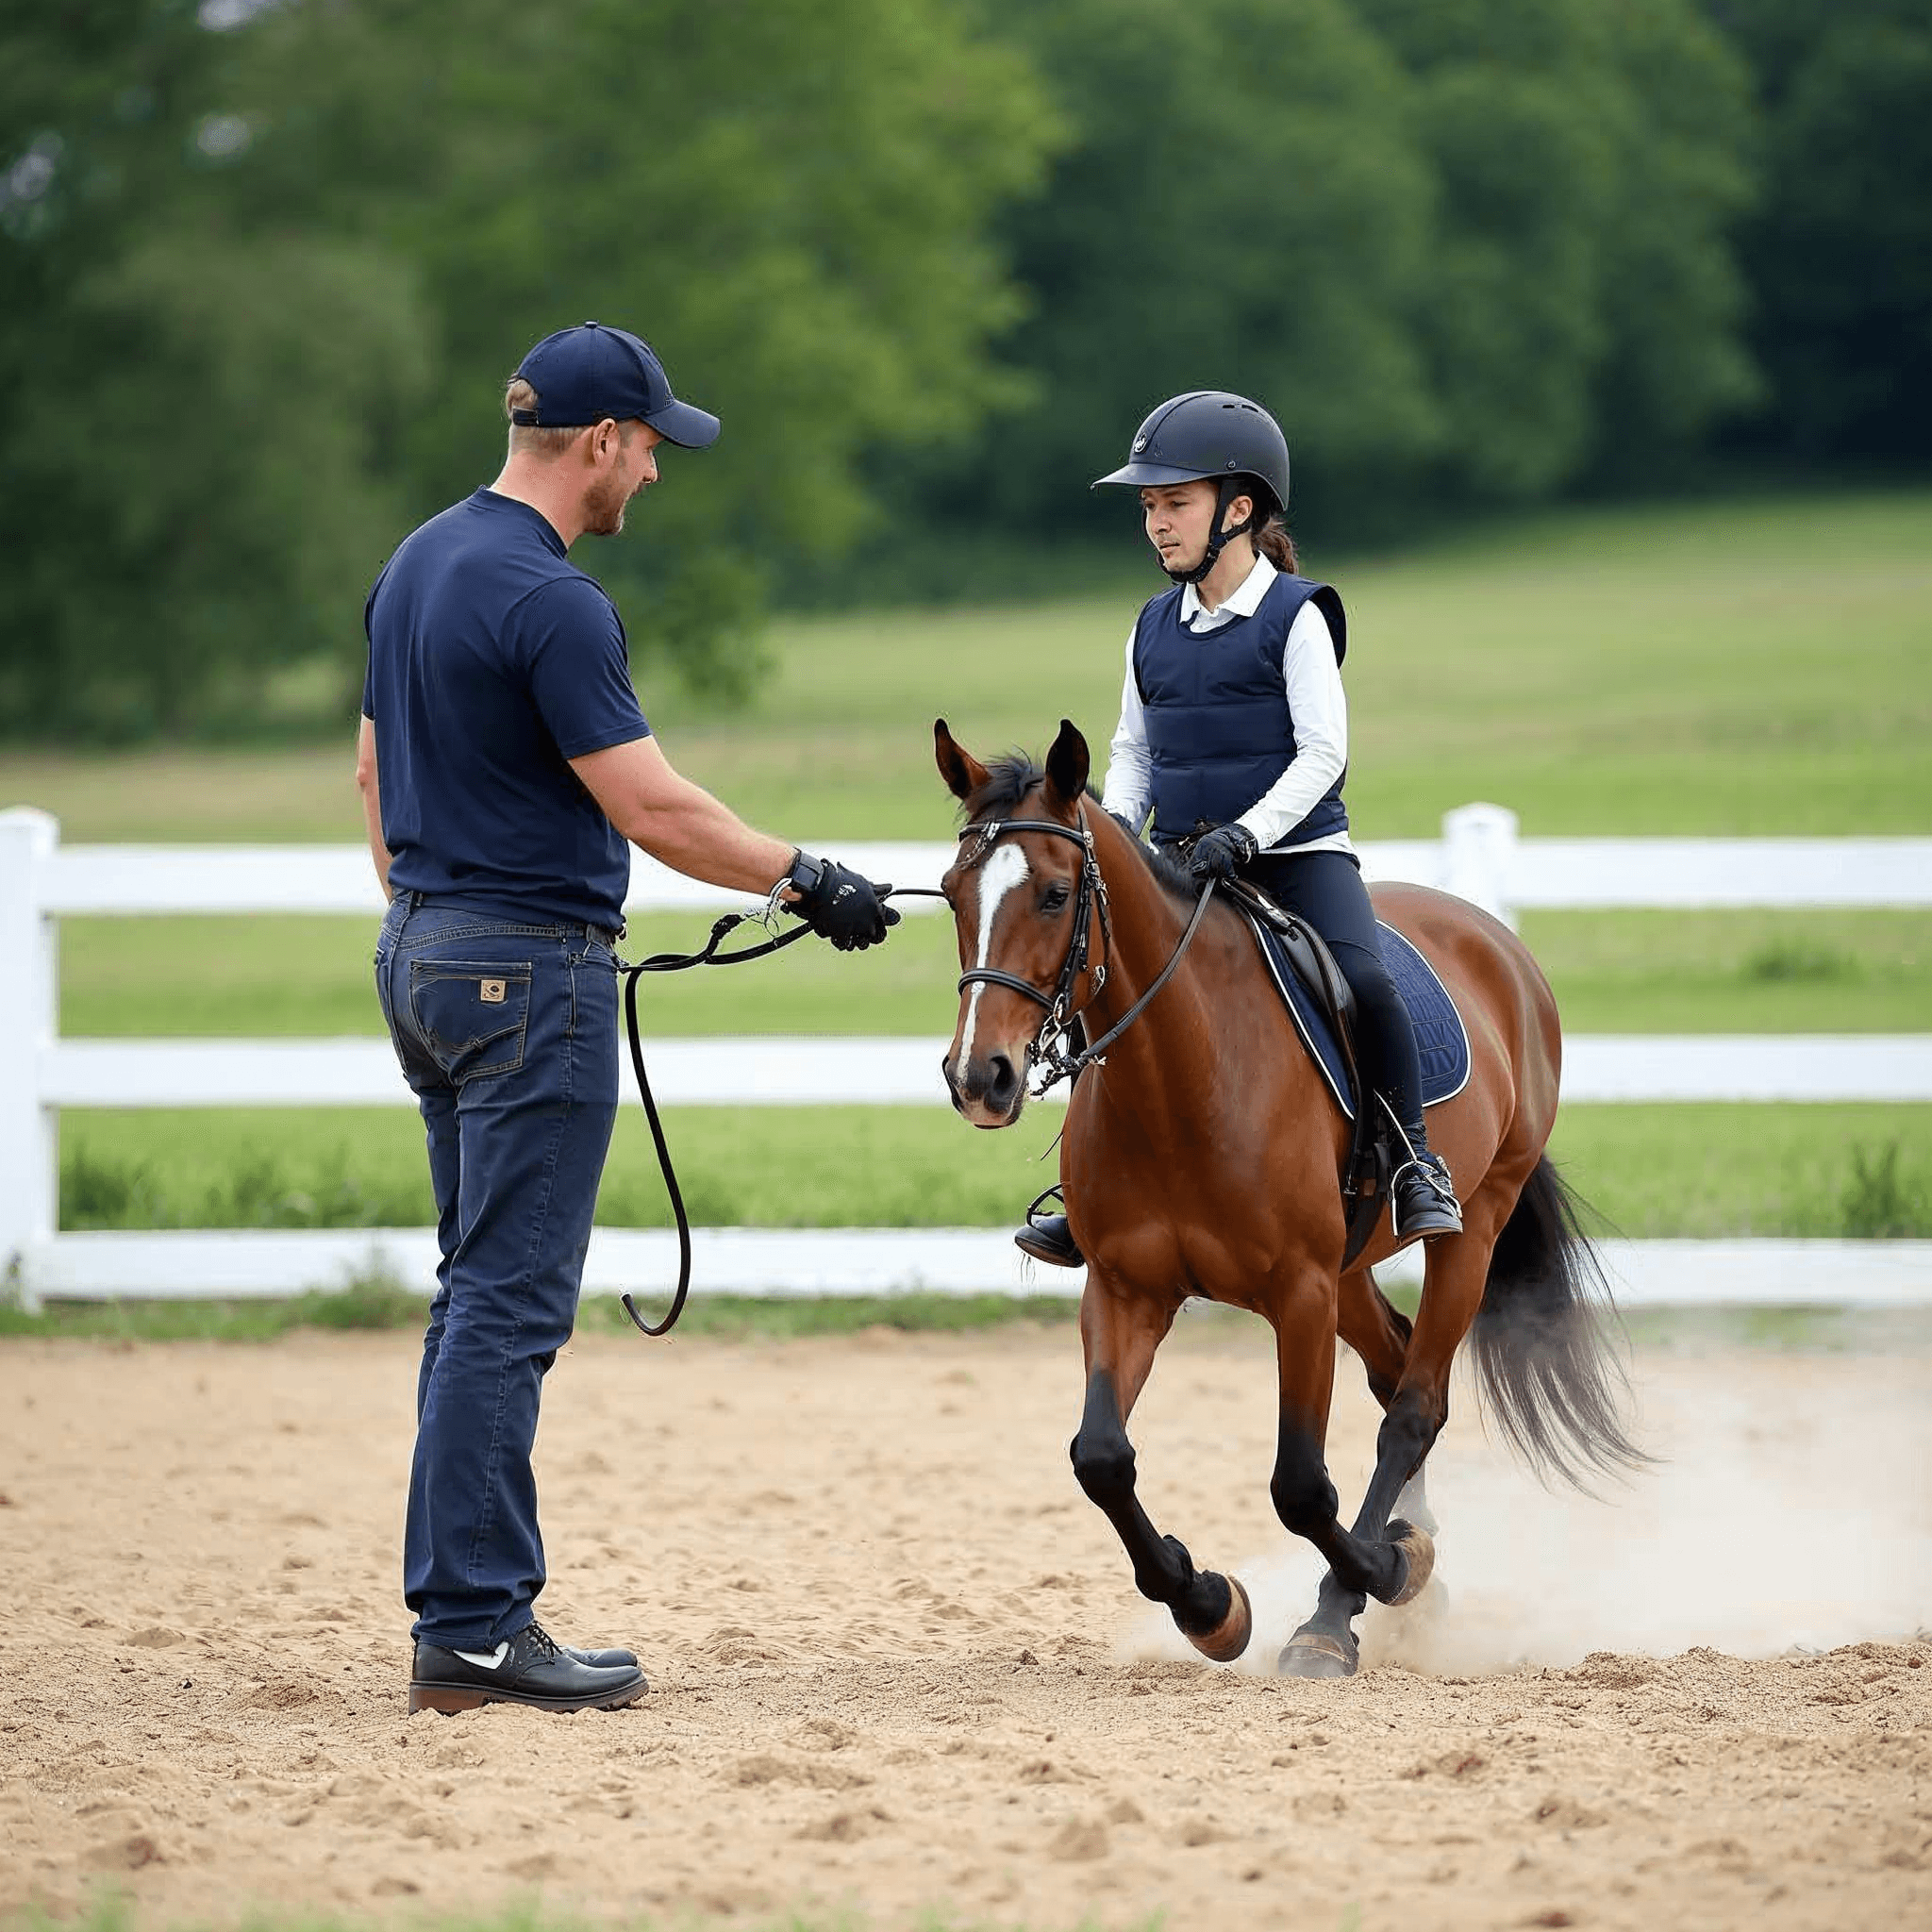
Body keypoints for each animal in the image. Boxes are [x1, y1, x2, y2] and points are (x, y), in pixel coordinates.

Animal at [934, 717, 1643, 1678]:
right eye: (951, 895)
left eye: (1052, 895)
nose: (981, 1078)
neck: (1183, 1075)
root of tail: (1495, 942)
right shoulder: (1127, 1288)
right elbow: (1101, 1459)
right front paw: (1207, 1605)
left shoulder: (1300, 1292)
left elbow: (1301, 1487)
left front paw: (1368, 1585)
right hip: (1352, 1267)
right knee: (1394, 1369)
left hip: (1471, 1228)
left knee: (1414, 1407)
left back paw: (1362, 1591)